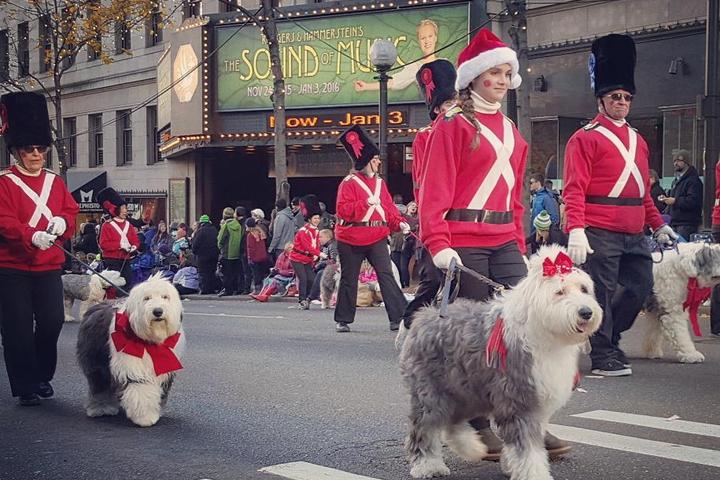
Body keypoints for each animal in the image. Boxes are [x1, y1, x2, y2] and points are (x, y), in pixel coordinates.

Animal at [76, 274, 186, 428]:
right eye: (147, 298)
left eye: (165, 297)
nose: (158, 311)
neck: (150, 341)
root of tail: (97, 305)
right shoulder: (132, 366)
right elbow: (141, 391)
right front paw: (145, 418)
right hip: (96, 360)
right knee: (99, 385)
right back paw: (100, 408)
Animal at [400, 246, 600, 478]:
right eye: (560, 292)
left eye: (584, 289)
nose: (586, 312)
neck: (540, 330)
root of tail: (426, 315)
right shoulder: (519, 400)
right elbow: (527, 448)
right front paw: (534, 473)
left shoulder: (536, 402)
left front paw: (512, 464)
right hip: (433, 389)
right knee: (426, 425)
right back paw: (428, 465)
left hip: (466, 387)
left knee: (453, 421)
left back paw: (472, 447)